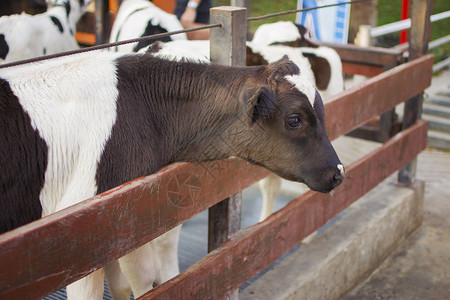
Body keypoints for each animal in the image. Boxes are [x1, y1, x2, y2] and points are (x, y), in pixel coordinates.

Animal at [0, 49, 344, 298]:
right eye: (295, 119)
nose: (338, 173)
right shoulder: (83, 241)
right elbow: (141, 281)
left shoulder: (112, 230)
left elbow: (123, 285)